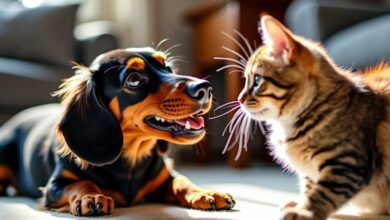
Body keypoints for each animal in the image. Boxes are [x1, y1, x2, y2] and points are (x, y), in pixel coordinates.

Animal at [0, 47, 233, 215]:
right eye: (134, 79)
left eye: (166, 67)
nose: (205, 88)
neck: (131, 159)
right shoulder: (54, 187)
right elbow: (82, 183)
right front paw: (91, 197)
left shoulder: (165, 179)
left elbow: (183, 182)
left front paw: (206, 193)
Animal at [232, 15, 390, 220]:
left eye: (257, 80)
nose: (239, 99)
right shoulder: (317, 171)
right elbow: (309, 185)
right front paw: (300, 202)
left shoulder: (347, 163)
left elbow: (323, 193)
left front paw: (304, 211)